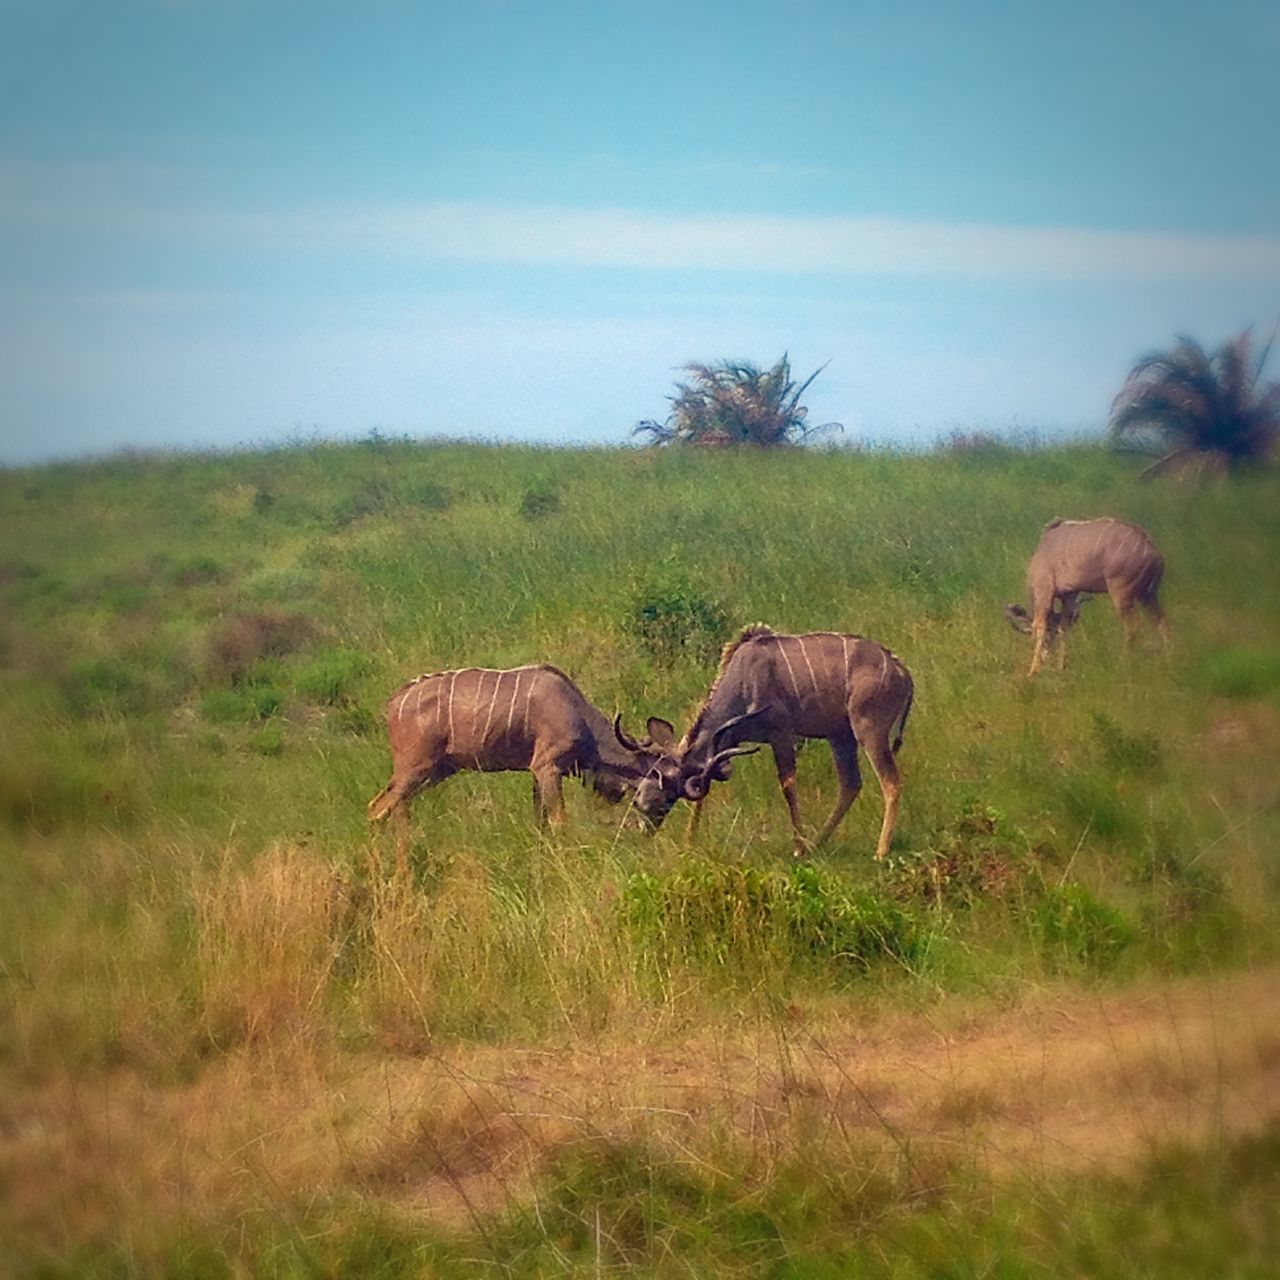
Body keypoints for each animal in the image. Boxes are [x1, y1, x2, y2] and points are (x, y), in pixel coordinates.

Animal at [371, 665, 686, 865]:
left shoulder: (536, 773)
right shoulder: (547, 767)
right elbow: (559, 821)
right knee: (378, 809)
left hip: (434, 772)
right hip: (414, 769)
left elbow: (540, 821)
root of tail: (392, 704)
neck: (579, 717)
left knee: (393, 807)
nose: (650, 830)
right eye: (666, 793)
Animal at [675, 622, 916, 860]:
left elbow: (788, 785)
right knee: (851, 783)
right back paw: (817, 843)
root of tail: (902, 671)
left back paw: (880, 851)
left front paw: (798, 848)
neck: (743, 677)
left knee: (891, 782)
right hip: (841, 737)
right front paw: (689, 840)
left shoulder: (781, 733)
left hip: (869, 732)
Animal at [1003, 514, 1167, 675]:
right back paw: (1168, 657)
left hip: (1122, 594)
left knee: (1133, 626)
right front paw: (1060, 666)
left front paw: (1032, 671)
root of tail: (1154, 552)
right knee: (1161, 621)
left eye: (1051, 636)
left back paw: (1122, 662)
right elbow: (1064, 627)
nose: (1047, 655)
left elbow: (1039, 626)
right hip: (1148, 595)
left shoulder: (1044, 592)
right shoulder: (1069, 595)